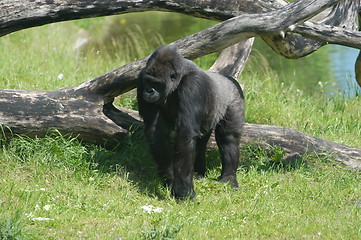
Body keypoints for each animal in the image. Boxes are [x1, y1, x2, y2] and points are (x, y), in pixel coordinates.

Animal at [136, 45, 243, 199]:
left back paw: (228, 178)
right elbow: (156, 132)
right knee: (200, 142)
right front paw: (169, 178)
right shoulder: (141, 79)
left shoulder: (193, 85)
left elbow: (185, 134)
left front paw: (182, 191)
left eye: (156, 83)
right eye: (148, 81)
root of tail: (228, 79)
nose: (149, 91)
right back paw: (199, 173)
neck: (178, 80)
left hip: (234, 97)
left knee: (228, 137)